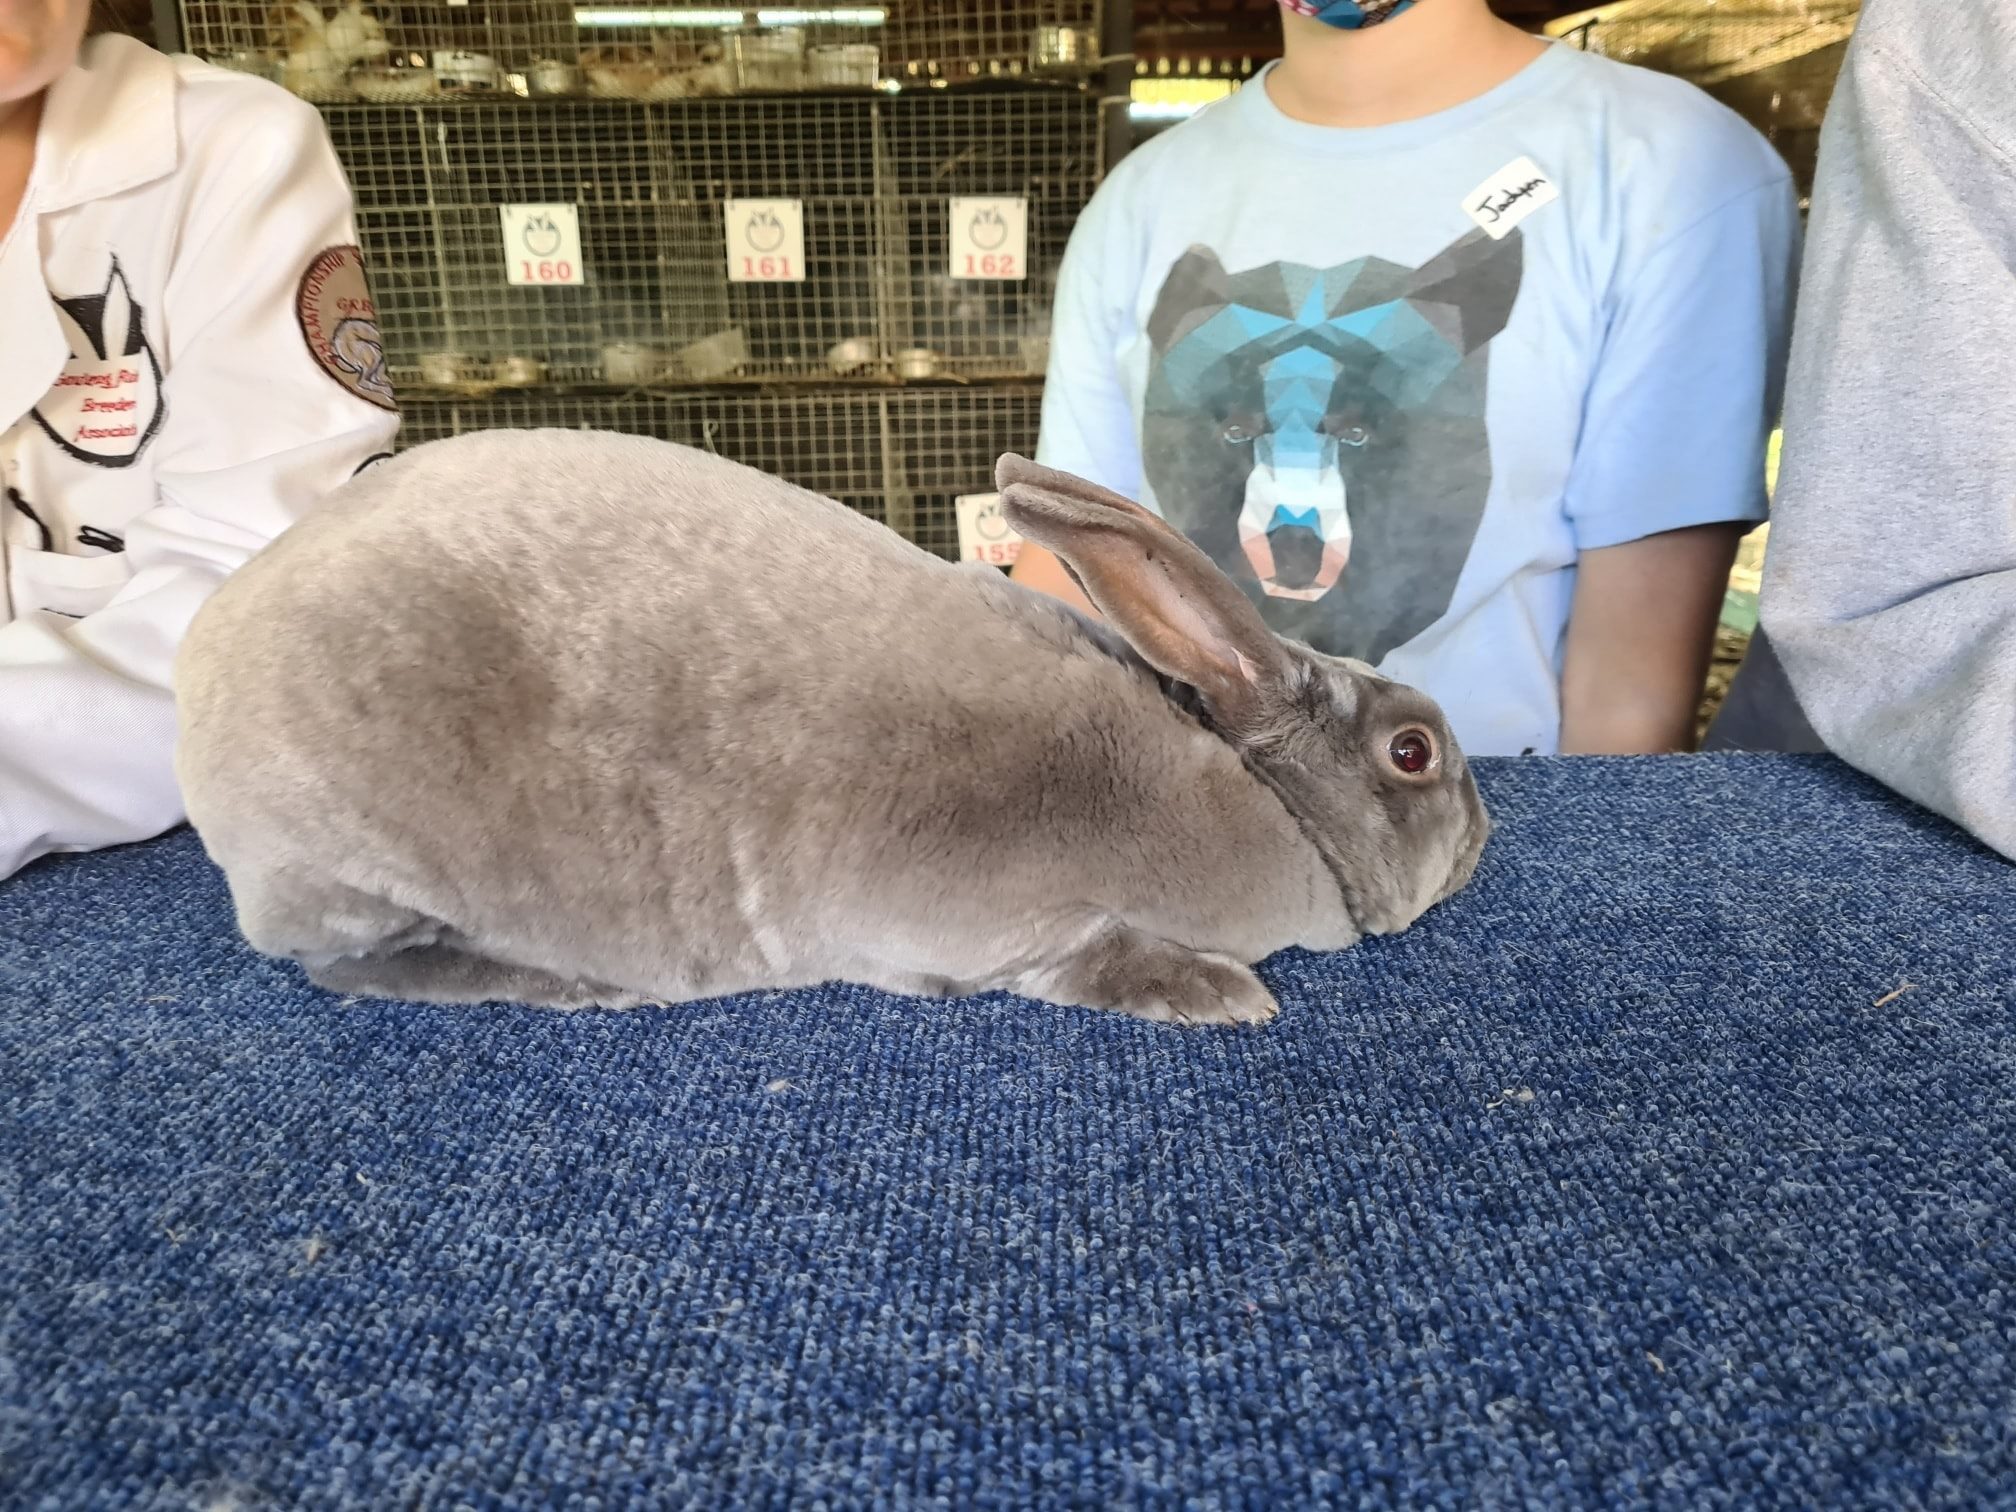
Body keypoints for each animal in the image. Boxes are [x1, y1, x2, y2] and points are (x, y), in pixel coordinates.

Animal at [173, 430, 1490, 1027]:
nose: (1486, 835)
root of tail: (201, 662)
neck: (1269, 802)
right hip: (355, 871)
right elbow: (1081, 957)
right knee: (346, 965)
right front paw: (1215, 992)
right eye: (1413, 753)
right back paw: (565, 984)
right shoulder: (993, 917)